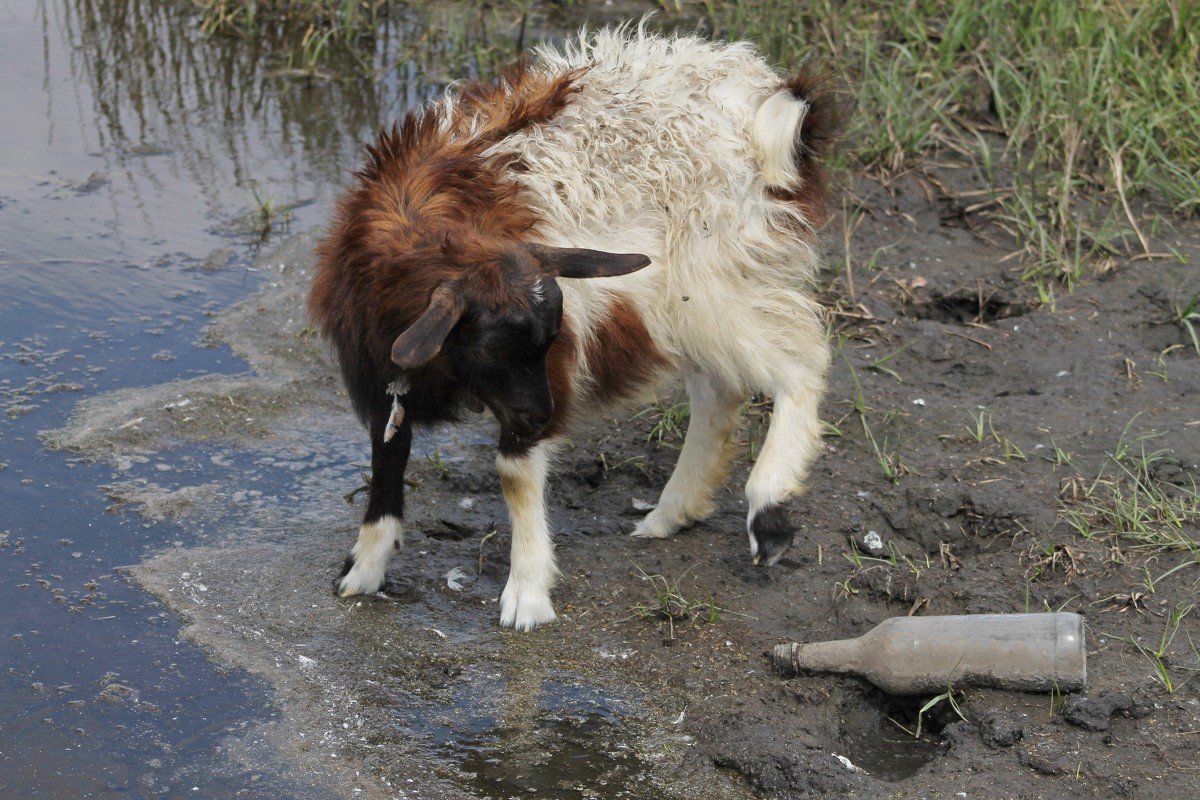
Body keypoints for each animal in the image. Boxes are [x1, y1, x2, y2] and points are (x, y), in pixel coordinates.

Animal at [309, 25, 835, 633]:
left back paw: (768, 509)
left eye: (545, 341)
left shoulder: (551, 369)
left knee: (799, 360)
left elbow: (514, 474)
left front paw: (526, 595)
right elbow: (387, 454)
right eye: (488, 348)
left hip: (717, 278)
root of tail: (765, 99)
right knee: (720, 392)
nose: (544, 419)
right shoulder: (382, 372)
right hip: (690, 301)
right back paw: (672, 511)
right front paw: (363, 570)